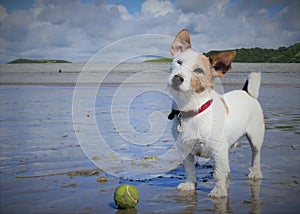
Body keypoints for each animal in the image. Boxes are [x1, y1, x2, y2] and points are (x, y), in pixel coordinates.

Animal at [168, 29, 264, 198]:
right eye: (178, 62)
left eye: (198, 71)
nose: (177, 78)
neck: (193, 110)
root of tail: (247, 93)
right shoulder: (185, 150)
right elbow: (190, 169)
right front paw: (190, 184)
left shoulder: (218, 150)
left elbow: (217, 173)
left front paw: (219, 191)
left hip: (256, 137)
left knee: (256, 155)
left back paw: (255, 172)